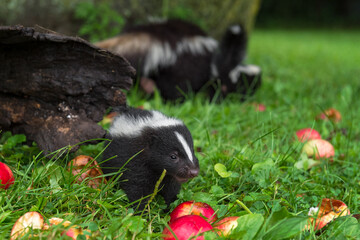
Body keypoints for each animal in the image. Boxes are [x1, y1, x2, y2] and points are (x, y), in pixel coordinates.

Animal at [94, 18, 260, 101]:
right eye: (244, 86)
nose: (247, 98)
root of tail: (156, 34)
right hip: (181, 66)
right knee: (175, 87)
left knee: (144, 82)